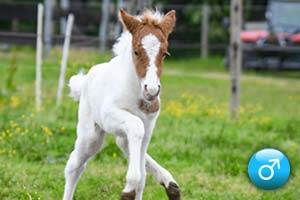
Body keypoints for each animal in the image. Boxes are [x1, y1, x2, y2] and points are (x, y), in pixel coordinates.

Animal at [62, 8, 180, 199]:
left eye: (164, 53)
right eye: (136, 52)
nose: (151, 90)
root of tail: (86, 78)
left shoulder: (149, 127)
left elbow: (142, 177)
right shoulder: (111, 116)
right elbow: (136, 127)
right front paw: (128, 189)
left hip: (121, 134)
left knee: (123, 144)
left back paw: (170, 183)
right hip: (91, 135)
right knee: (75, 165)